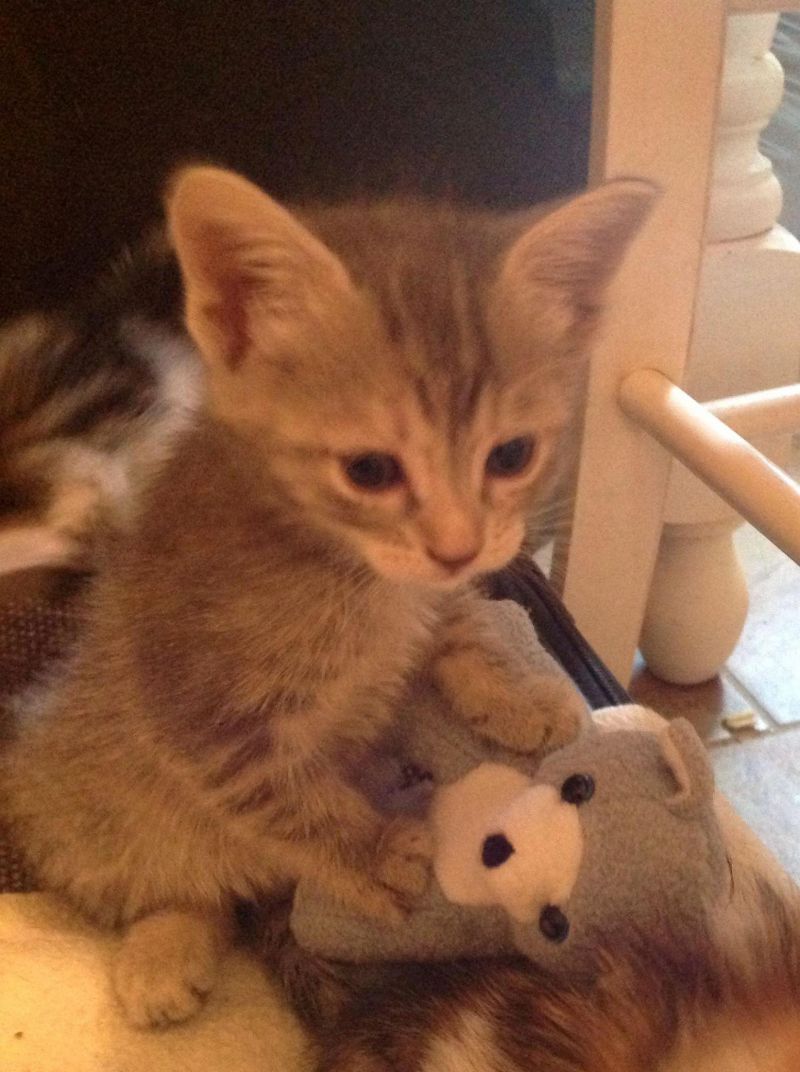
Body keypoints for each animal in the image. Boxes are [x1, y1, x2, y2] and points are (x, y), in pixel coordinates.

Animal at [1, 165, 653, 1029]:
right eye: (370, 470)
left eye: (512, 454)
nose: (457, 546)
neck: (354, 576)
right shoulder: (200, 715)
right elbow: (282, 797)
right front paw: (373, 854)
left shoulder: (430, 595)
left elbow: (461, 627)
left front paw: (513, 695)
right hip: (78, 819)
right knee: (182, 881)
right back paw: (163, 947)